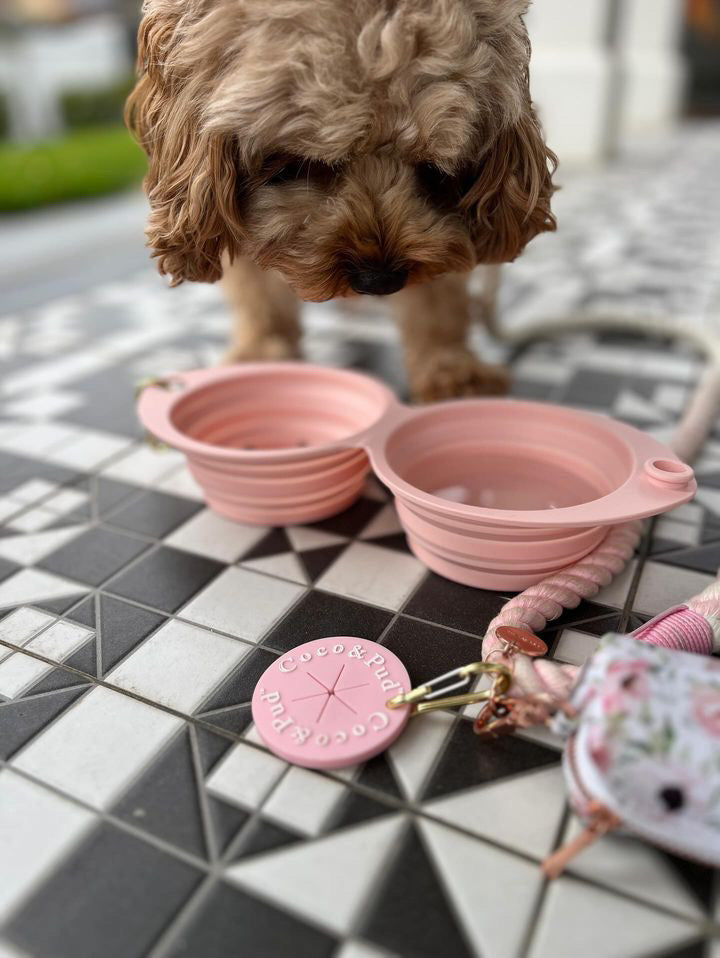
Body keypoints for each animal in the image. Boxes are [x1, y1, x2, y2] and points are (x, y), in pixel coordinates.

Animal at [126, 0, 556, 402]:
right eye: (301, 164)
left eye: (435, 169)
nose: (380, 281)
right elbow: (256, 290)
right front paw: (260, 354)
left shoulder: (445, 229)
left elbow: (440, 294)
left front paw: (450, 366)